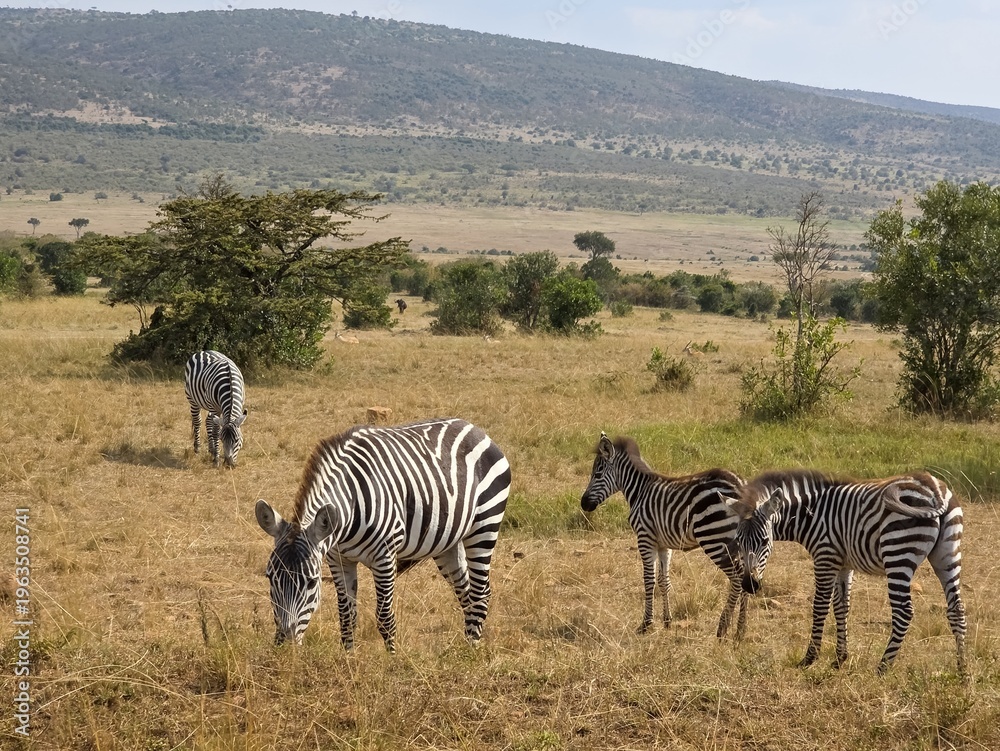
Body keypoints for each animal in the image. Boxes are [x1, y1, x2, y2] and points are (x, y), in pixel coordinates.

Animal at [254, 417, 511, 650]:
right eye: (270, 578)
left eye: (311, 582)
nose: (284, 646)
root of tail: (475, 428)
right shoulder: (338, 559)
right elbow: (347, 616)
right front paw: (349, 660)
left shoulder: (385, 557)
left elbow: (385, 618)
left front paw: (393, 661)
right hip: (448, 542)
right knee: (465, 593)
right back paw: (462, 647)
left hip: (484, 525)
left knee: (480, 593)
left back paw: (470, 652)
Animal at [581, 433, 749, 639]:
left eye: (597, 474)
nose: (583, 504)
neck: (639, 492)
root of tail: (740, 485)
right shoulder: (663, 544)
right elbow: (664, 581)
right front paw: (667, 621)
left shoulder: (645, 538)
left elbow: (649, 581)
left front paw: (646, 624)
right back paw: (740, 630)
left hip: (715, 539)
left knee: (737, 578)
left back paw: (723, 627)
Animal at [734, 469, 967, 675]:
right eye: (738, 542)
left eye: (765, 541)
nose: (749, 585)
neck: (811, 515)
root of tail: (934, 489)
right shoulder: (843, 564)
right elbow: (841, 607)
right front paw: (840, 658)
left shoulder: (825, 556)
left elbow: (820, 606)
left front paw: (809, 658)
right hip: (947, 555)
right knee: (957, 609)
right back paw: (962, 671)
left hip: (898, 553)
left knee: (904, 612)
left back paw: (883, 667)